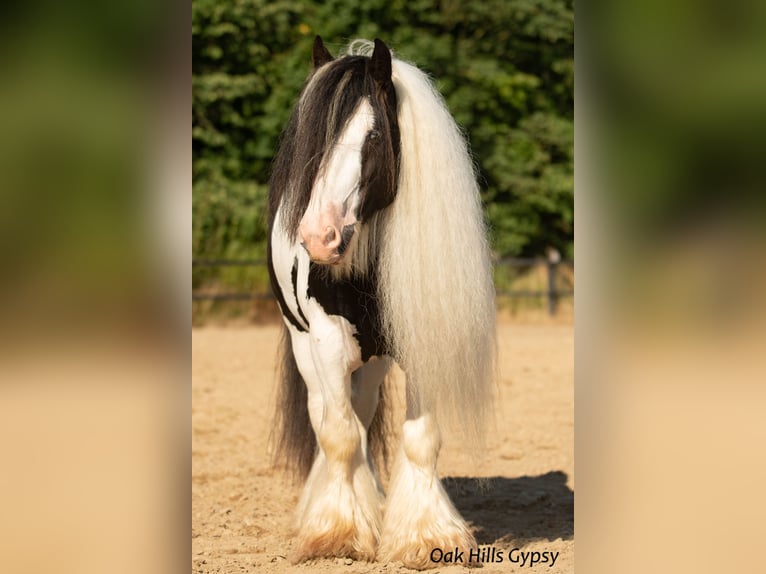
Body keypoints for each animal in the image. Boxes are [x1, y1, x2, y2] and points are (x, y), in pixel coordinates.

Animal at [268, 37, 498, 572]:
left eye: (372, 138)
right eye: (314, 142)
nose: (319, 237)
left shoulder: (419, 341)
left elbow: (419, 437)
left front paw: (426, 536)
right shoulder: (326, 342)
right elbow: (338, 435)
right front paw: (338, 534)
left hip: (371, 363)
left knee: (363, 411)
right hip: (306, 347)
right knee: (327, 417)